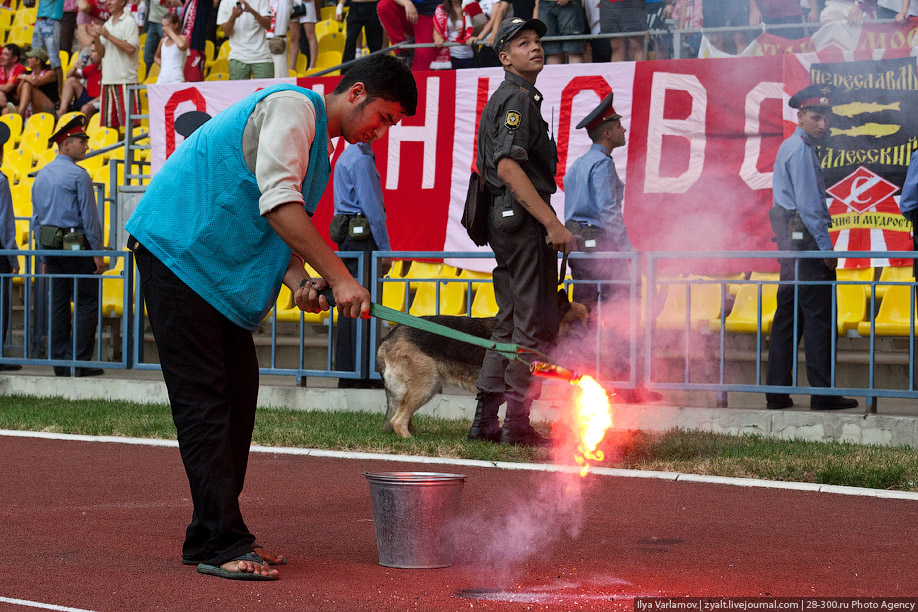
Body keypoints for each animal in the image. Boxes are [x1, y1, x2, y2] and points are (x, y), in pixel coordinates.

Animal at [378, 300, 592, 436]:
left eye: (589, 324)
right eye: (574, 324)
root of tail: (389, 336)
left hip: (425, 386)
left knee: (400, 416)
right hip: (425, 385)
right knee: (397, 420)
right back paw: (409, 440)